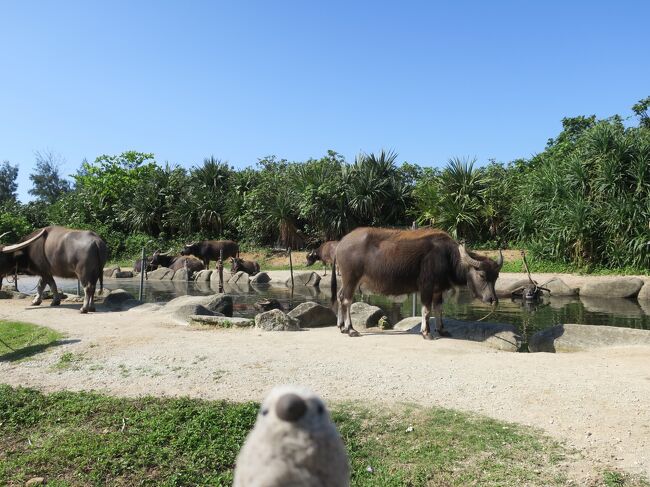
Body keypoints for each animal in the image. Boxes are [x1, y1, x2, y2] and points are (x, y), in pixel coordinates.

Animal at [330, 228, 502, 340]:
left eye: (496, 277)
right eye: (482, 275)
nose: (493, 300)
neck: (447, 257)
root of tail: (341, 244)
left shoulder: (438, 290)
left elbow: (438, 309)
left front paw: (441, 330)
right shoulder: (426, 287)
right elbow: (426, 310)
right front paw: (426, 332)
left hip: (347, 280)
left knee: (339, 296)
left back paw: (341, 327)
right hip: (351, 278)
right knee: (347, 300)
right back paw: (351, 329)